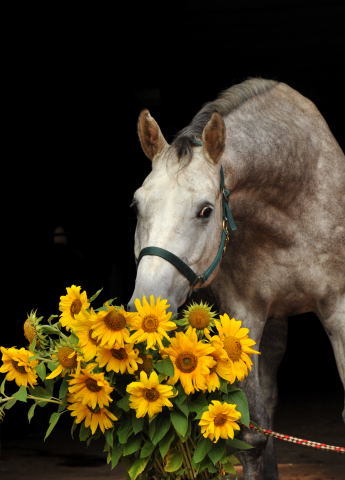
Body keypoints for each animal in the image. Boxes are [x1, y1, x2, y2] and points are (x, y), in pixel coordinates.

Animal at [127, 77, 344, 478]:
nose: (147, 311)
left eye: (205, 211)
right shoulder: (245, 315)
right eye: (136, 205)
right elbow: (252, 437)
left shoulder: (337, 309)